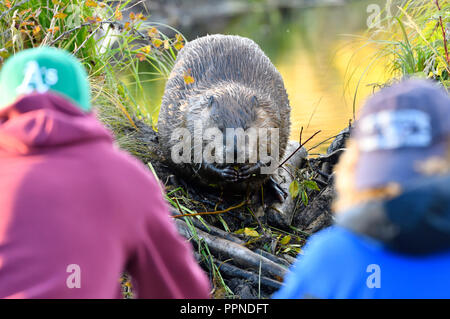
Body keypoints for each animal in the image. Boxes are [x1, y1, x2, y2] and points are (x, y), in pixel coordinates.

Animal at [158, 34, 292, 200]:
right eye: (220, 128)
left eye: (246, 128)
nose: (234, 153)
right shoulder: (190, 118)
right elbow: (192, 155)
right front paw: (224, 172)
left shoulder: (273, 116)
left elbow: (272, 152)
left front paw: (249, 169)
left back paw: (277, 190)